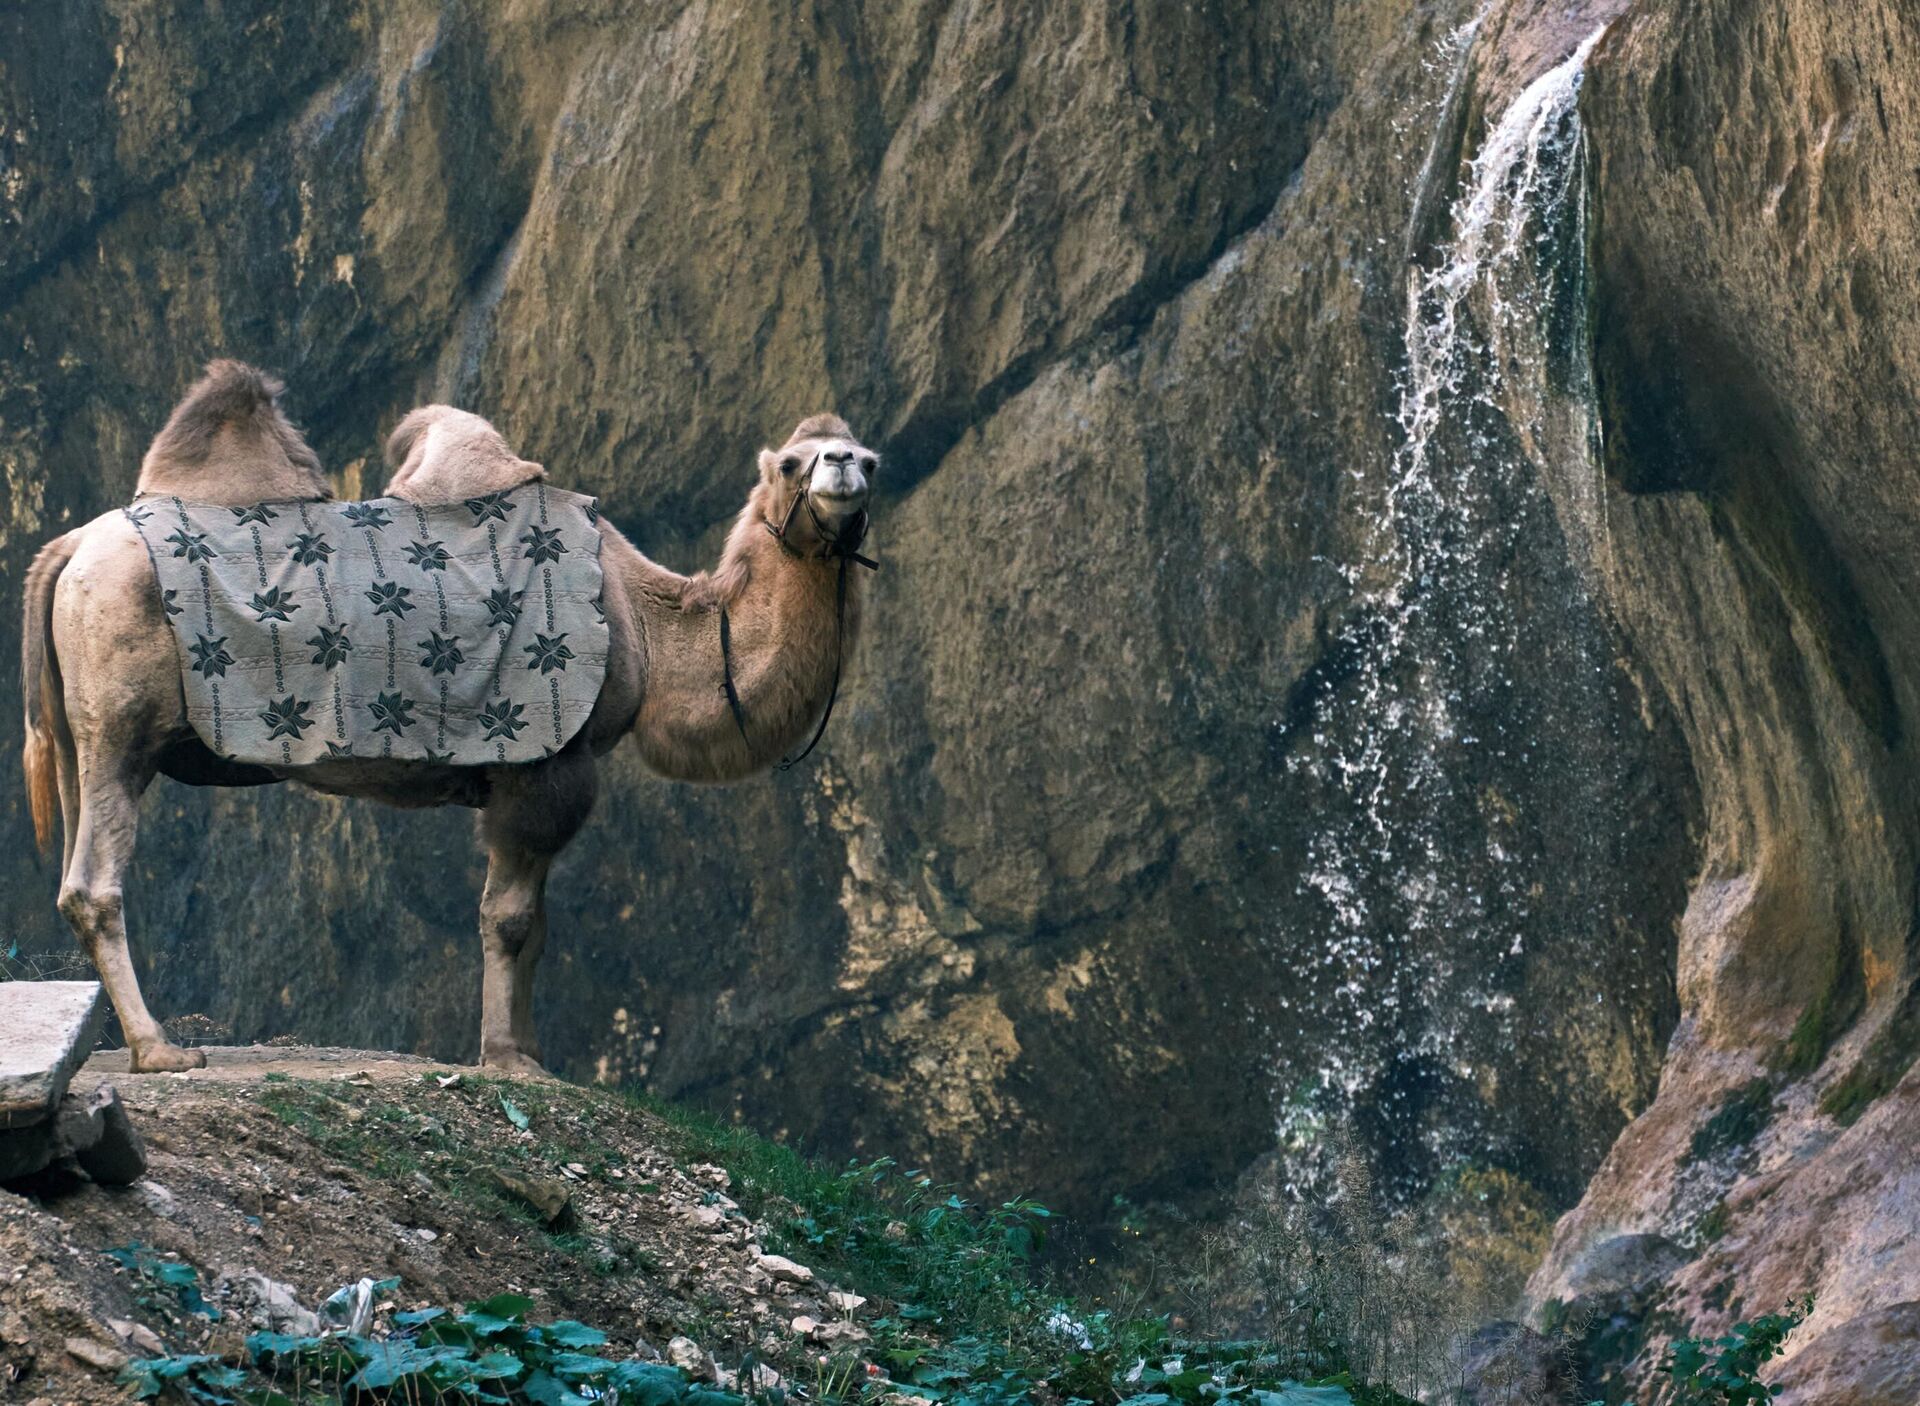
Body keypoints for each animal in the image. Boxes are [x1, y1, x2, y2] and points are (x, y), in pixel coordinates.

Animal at [20, 363, 879, 1075]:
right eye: (793, 463)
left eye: (869, 459)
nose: (844, 468)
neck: (642, 617)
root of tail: (67, 549)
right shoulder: (548, 762)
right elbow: (510, 917)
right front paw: (506, 1058)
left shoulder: (525, 768)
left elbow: (537, 922)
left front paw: (531, 1052)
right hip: (123, 721)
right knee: (93, 880)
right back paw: (160, 1050)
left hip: (78, 729)